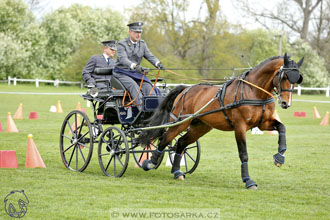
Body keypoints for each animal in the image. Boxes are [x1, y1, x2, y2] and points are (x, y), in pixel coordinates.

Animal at [137, 53, 304, 189]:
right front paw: (248, 180)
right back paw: (151, 162)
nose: (286, 103)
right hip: (181, 122)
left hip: (200, 127)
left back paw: (177, 172)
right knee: (166, 138)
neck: (254, 92)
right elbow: (243, 153)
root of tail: (186, 89)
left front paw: (279, 157)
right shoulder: (240, 127)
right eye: (284, 77)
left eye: (297, 79)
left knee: (181, 143)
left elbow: (282, 128)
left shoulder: (263, 124)